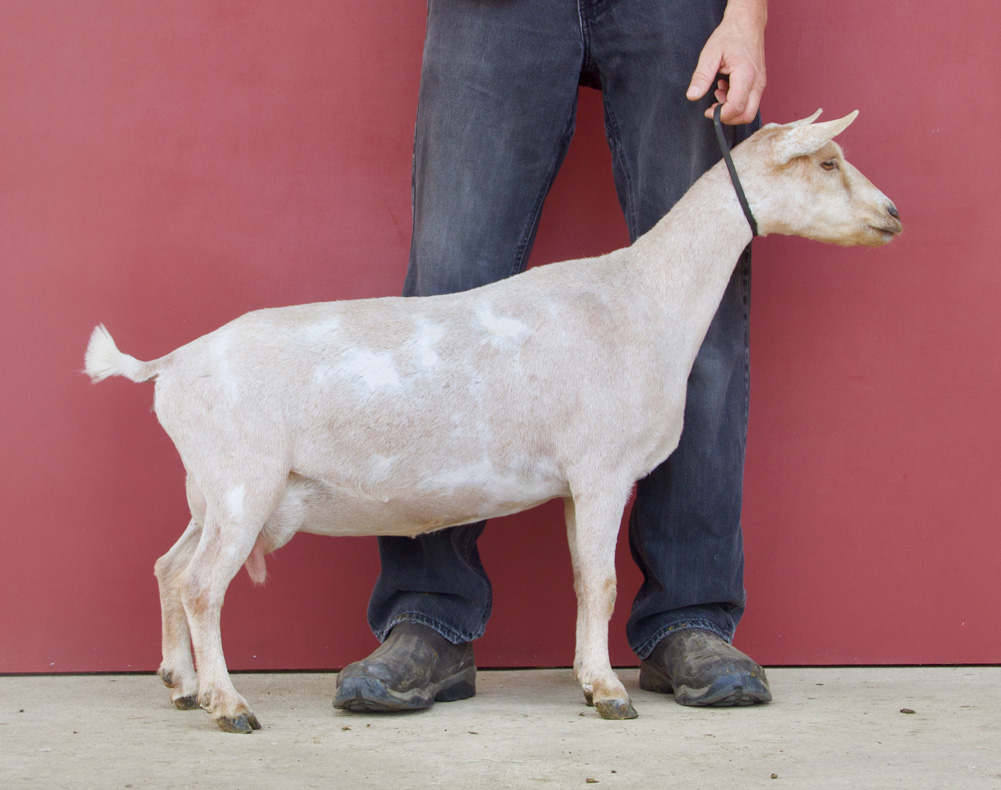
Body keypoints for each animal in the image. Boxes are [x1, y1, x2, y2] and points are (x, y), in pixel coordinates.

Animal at [86, 111, 900, 732]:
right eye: (828, 161)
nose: (891, 215)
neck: (641, 299)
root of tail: (167, 364)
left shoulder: (574, 483)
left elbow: (584, 578)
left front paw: (590, 679)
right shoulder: (602, 469)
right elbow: (603, 581)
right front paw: (608, 693)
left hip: (214, 489)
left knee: (168, 568)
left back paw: (182, 684)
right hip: (242, 481)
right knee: (200, 585)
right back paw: (228, 705)